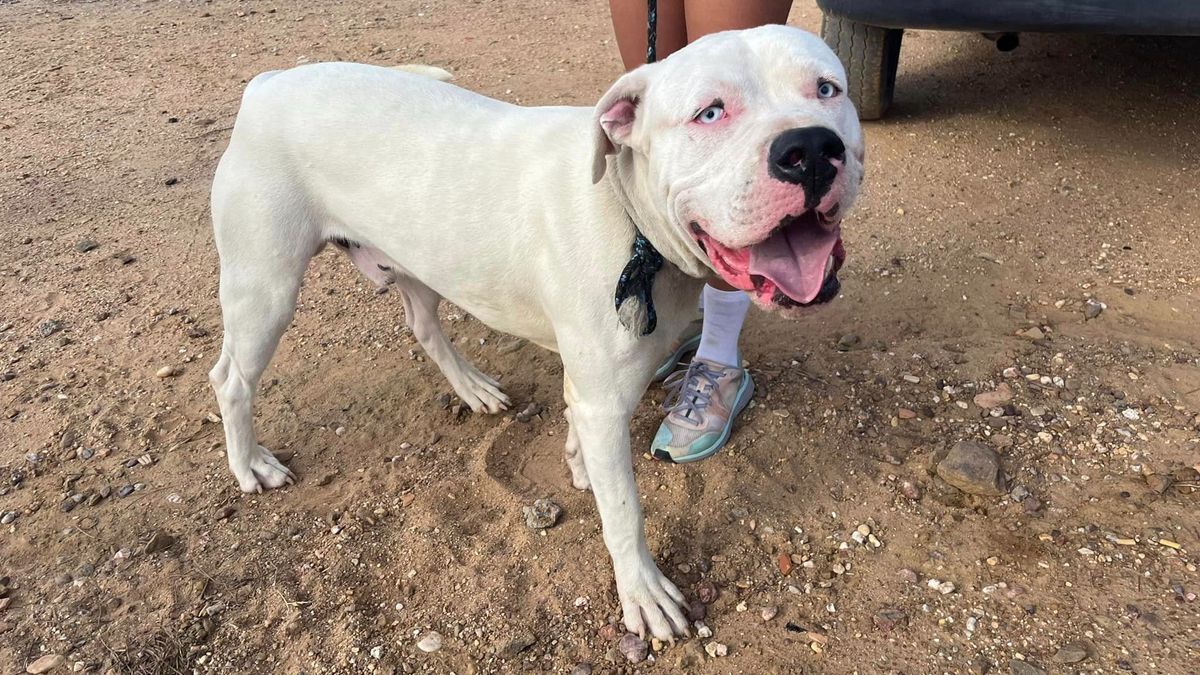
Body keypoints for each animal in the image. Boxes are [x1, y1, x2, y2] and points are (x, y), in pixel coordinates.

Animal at [208, 26, 864, 634]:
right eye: (711, 112)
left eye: (827, 89)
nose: (810, 148)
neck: (628, 213)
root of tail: (268, 83)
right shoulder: (604, 400)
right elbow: (624, 510)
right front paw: (643, 592)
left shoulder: (596, 387)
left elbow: (579, 429)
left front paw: (578, 466)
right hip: (265, 288)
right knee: (230, 379)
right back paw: (250, 466)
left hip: (416, 260)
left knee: (423, 325)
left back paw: (473, 388)